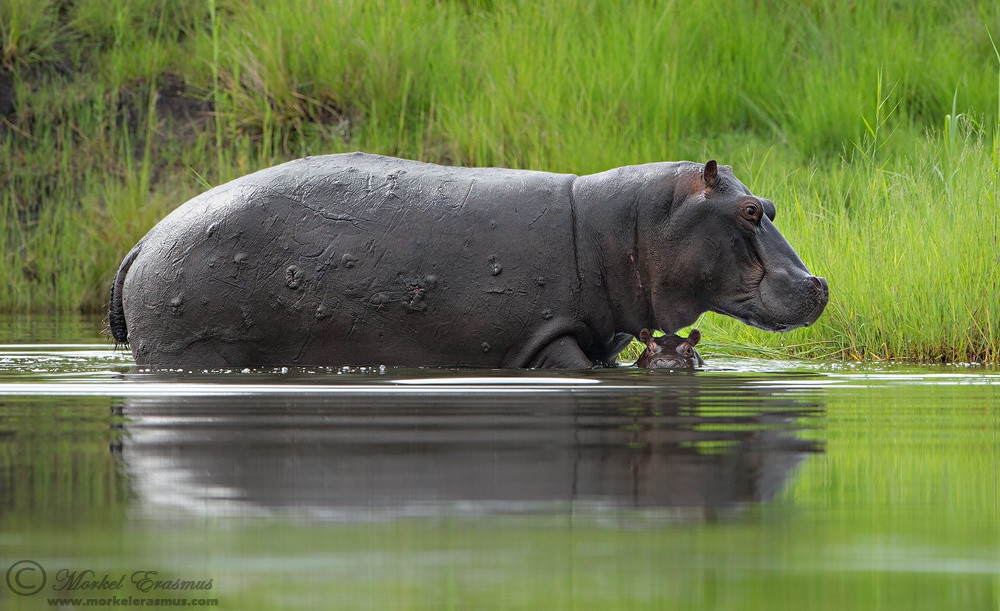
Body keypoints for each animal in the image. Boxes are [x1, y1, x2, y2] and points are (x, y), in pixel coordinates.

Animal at [107, 155, 828, 370]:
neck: (623, 227)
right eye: (749, 213)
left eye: (770, 202)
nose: (819, 282)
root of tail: (142, 241)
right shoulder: (545, 339)